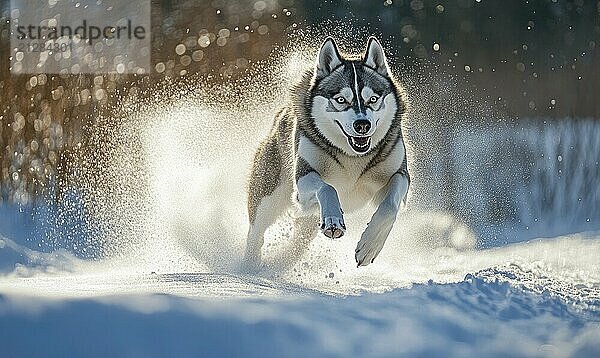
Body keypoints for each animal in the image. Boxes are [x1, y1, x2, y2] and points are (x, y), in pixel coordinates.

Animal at [243, 37, 408, 268]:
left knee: (298, 242)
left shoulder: (399, 175)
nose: (362, 125)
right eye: (341, 100)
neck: (352, 157)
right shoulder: (302, 183)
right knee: (256, 233)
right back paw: (249, 268)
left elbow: (390, 206)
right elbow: (327, 188)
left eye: (373, 99)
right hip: (269, 196)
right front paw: (333, 220)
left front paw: (369, 246)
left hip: (306, 218)